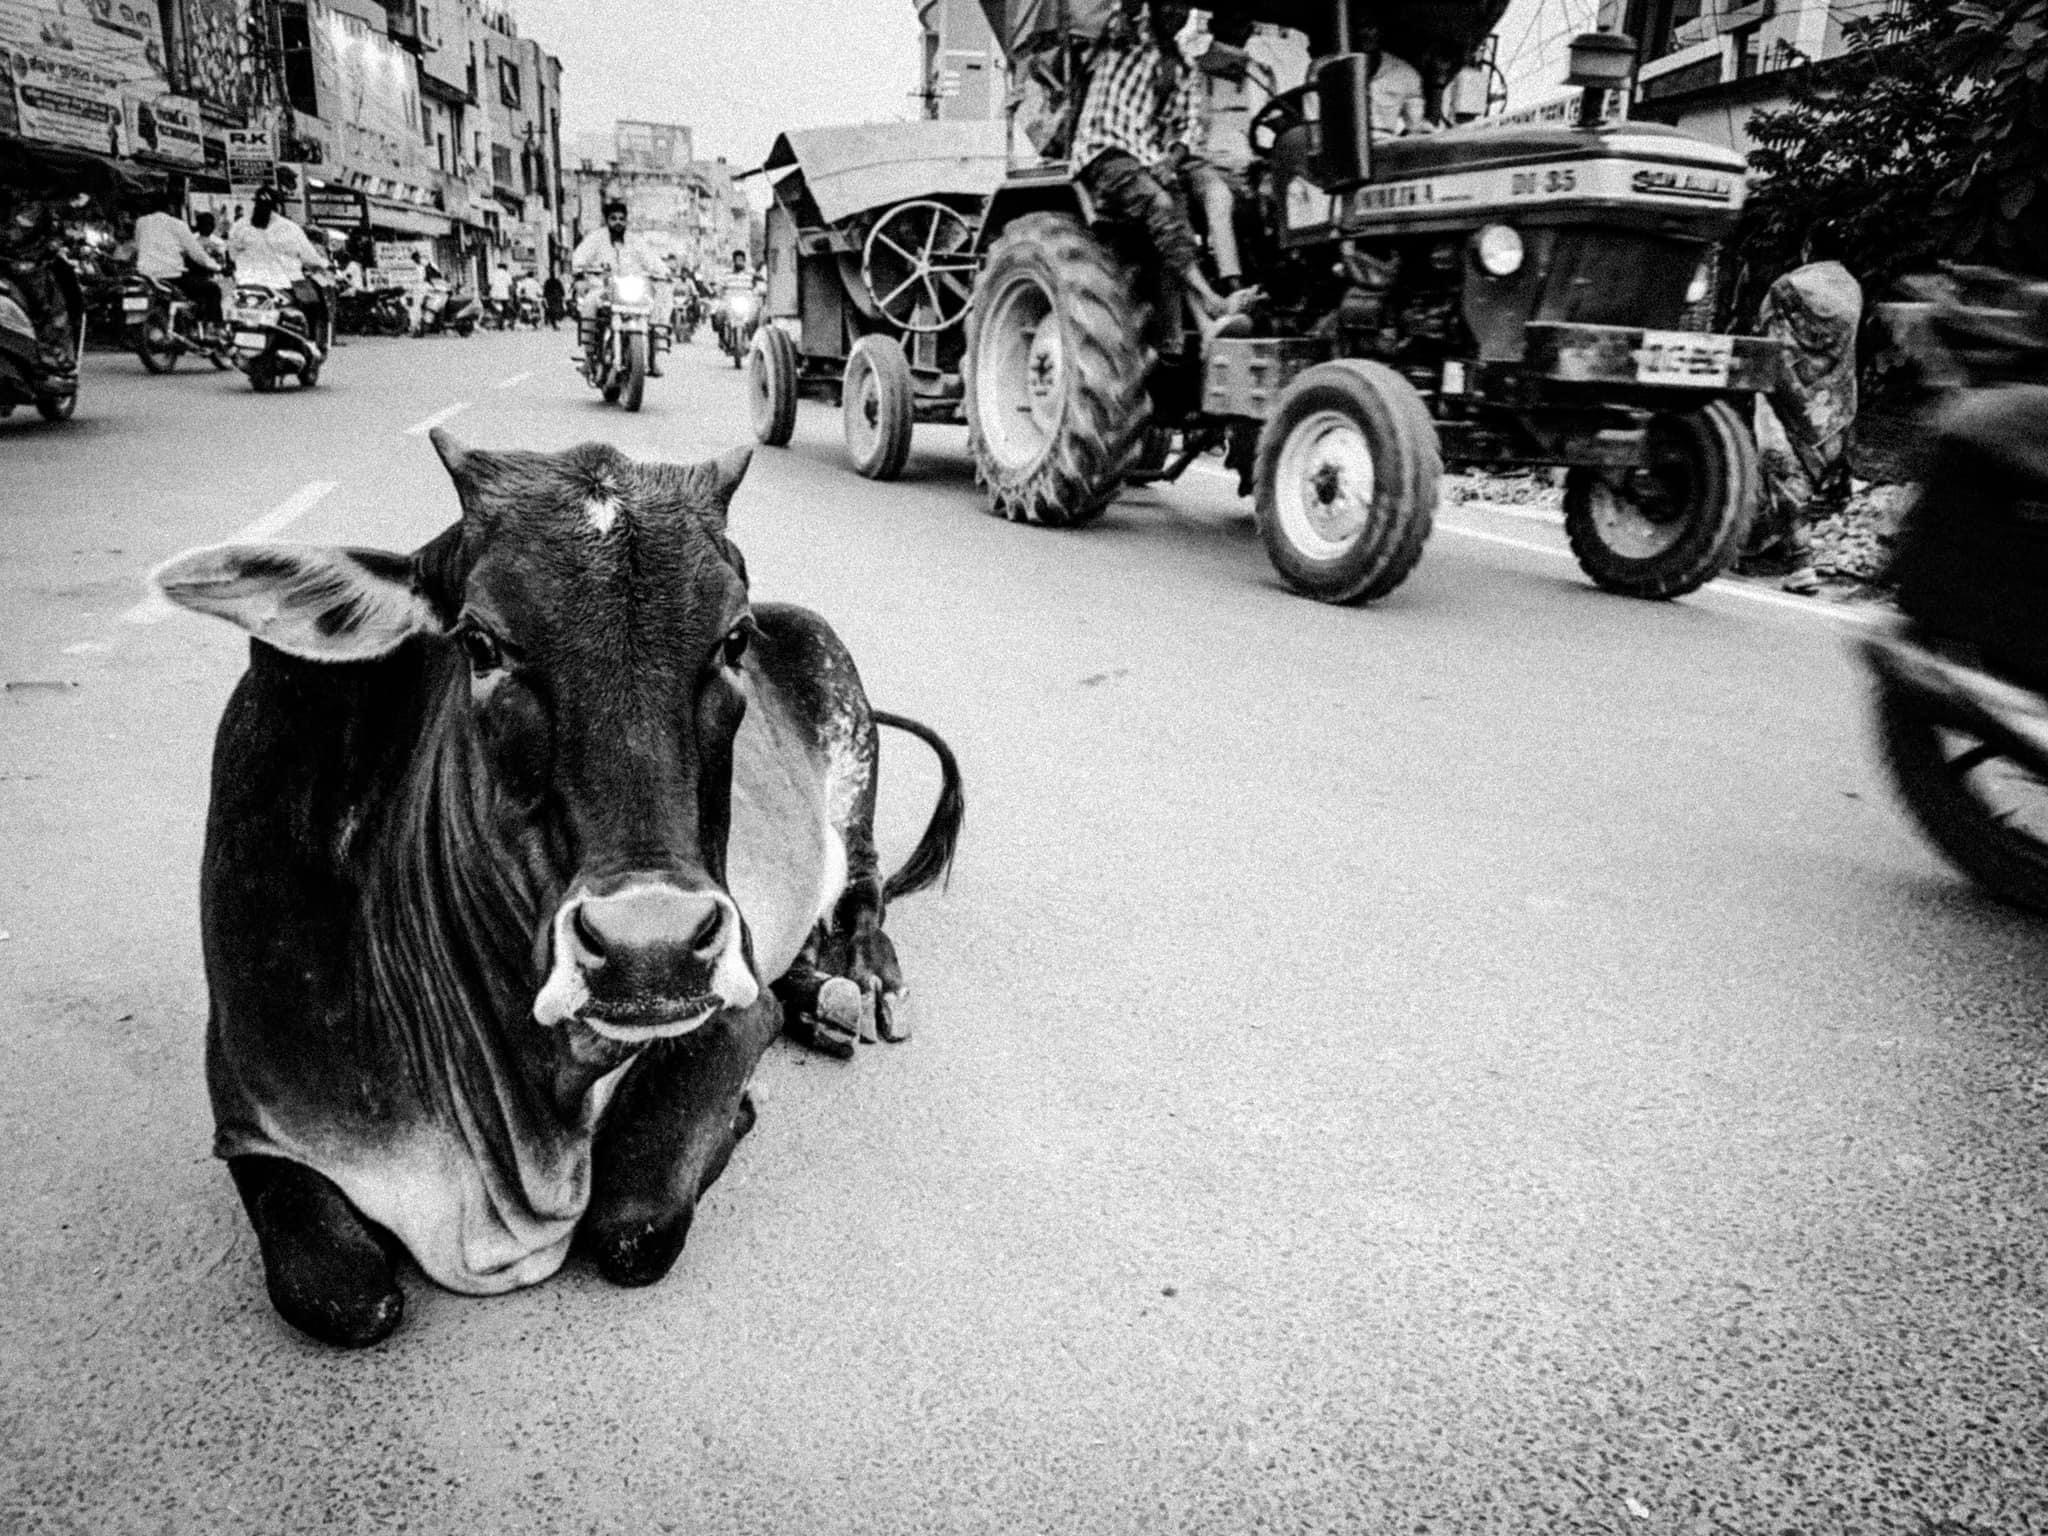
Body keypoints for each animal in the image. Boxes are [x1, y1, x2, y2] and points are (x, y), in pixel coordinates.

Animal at [151, 434, 966, 1343]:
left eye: (733, 639)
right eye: (479, 643)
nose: (653, 951)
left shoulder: (731, 1009)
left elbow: (632, 1225)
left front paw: (740, 1115)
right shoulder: (251, 1124)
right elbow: (343, 1290)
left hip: (848, 756)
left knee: (862, 888)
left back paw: (861, 981)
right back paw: (823, 1001)